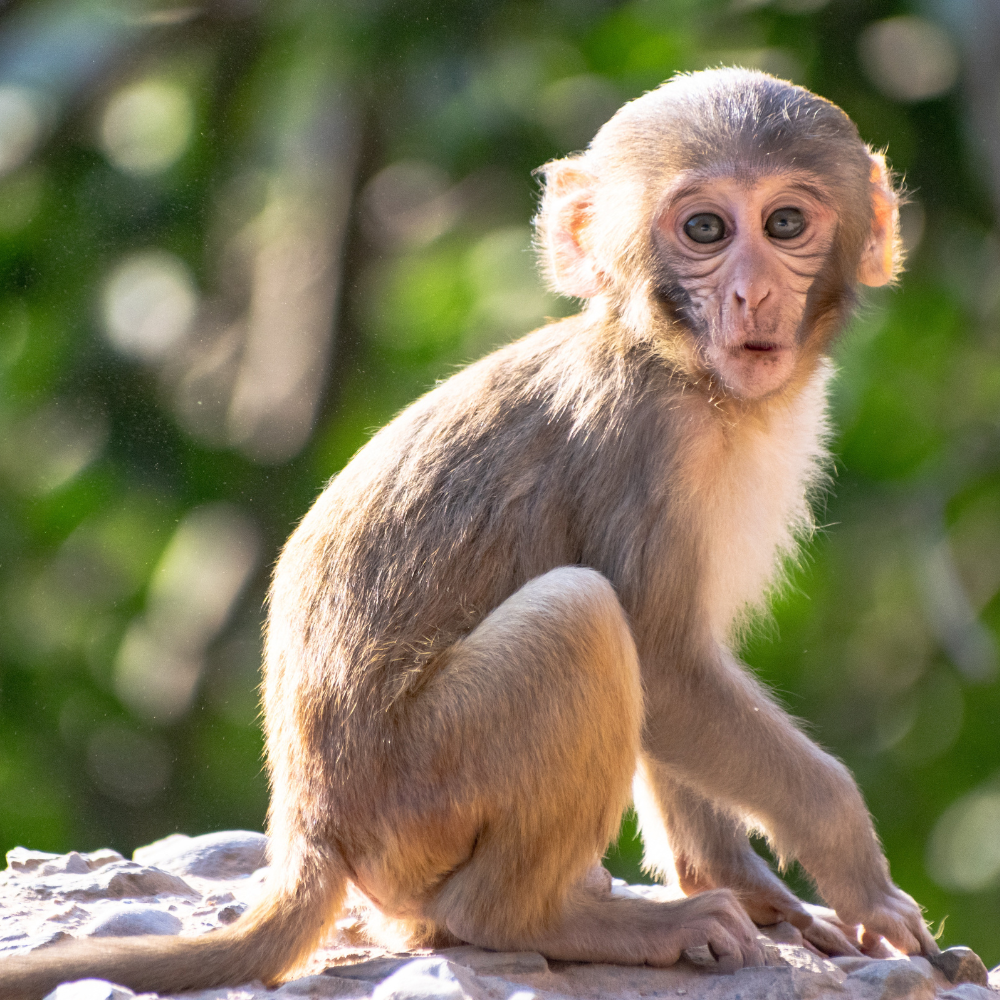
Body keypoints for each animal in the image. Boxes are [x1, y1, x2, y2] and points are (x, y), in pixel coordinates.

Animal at [0, 68, 939, 999]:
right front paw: (856, 868)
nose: (753, 293)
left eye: (785, 224)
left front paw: (746, 886)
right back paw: (545, 920)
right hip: (422, 791)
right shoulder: (647, 445)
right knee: (581, 618)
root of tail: (310, 827)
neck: (682, 369)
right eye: (705, 229)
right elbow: (667, 664)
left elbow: (681, 679)